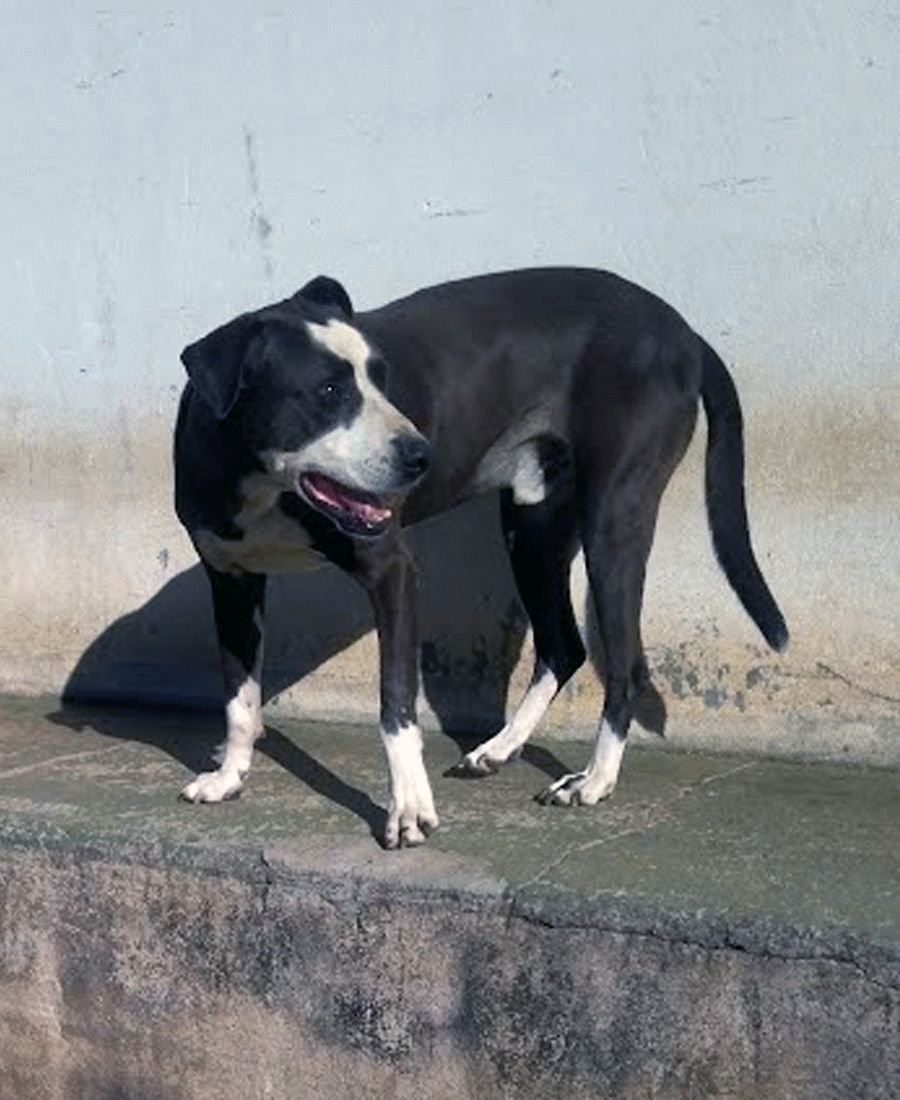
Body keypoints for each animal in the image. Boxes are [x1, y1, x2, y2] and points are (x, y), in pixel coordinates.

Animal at [175, 267, 787, 848]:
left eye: (383, 378)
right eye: (326, 391)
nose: (422, 456)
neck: (261, 480)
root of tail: (683, 331)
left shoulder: (392, 573)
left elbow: (396, 705)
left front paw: (408, 809)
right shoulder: (231, 581)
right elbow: (238, 698)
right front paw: (229, 776)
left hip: (614, 516)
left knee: (625, 663)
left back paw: (594, 780)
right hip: (533, 530)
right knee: (563, 646)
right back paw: (499, 747)